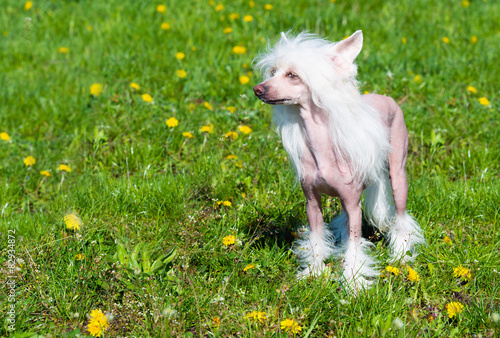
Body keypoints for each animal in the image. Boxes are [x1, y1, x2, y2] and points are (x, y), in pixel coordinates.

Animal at [254, 31, 426, 290]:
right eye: (273, 71)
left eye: (293, 75)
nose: (258, 89)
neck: (322, 149)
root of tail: (386, 97)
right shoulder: (312, 202)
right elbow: (316, 238)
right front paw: (314, 272)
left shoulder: (354, 204)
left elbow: (355, 246)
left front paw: (353, 283)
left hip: (398, 174)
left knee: (401, 216)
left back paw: (400, 255)